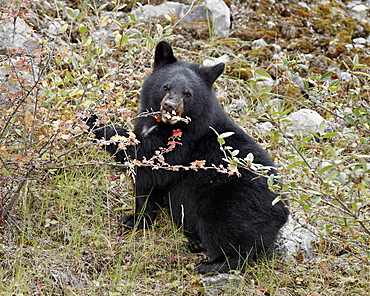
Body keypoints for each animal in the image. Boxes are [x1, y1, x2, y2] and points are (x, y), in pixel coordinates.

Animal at [86, 40, 290, 274]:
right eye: (165, 87)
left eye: (188, 93)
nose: (170, 106)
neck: (163, 125)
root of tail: (282, 214)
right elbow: (146, 186)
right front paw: (135, 219)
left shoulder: (181, 145)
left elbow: (145, 157)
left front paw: (91, 119)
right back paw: (196, 243)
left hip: (232, 204)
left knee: (232, 238)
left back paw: (213, 264)